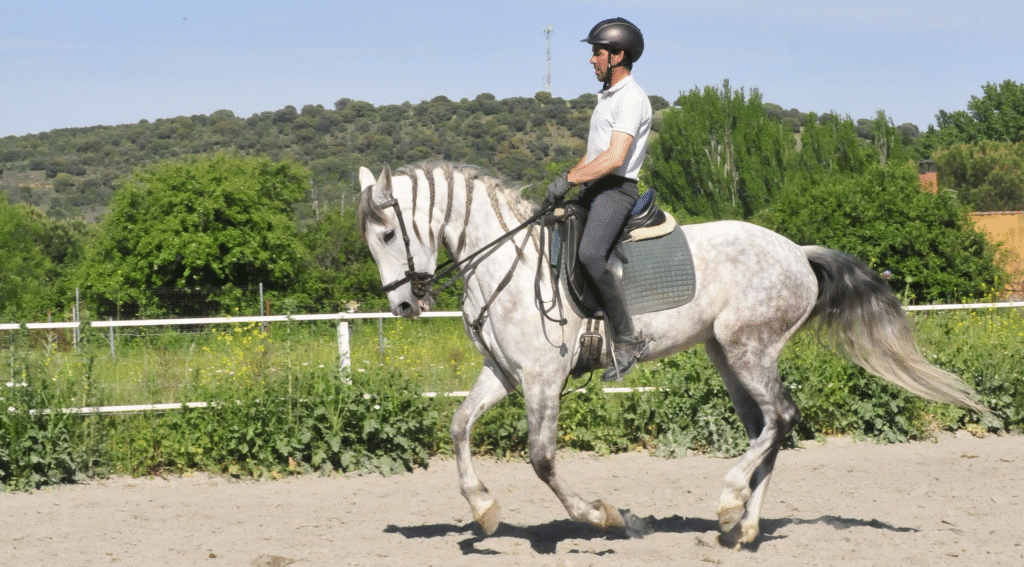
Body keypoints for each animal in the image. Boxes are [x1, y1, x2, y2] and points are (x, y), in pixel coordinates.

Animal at [356, 160, 986, 546]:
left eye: (387, 234)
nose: (405, 305)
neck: (504, 262)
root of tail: (797, 253)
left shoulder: (541, 378)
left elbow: (542, 458)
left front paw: (603, 516)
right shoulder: (505, 373)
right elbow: (459, 426)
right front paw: (483, 510)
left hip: (749, 348)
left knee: (781, 418)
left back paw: (731, 501)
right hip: (727, 356)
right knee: (766, 427)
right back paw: (742, 526)